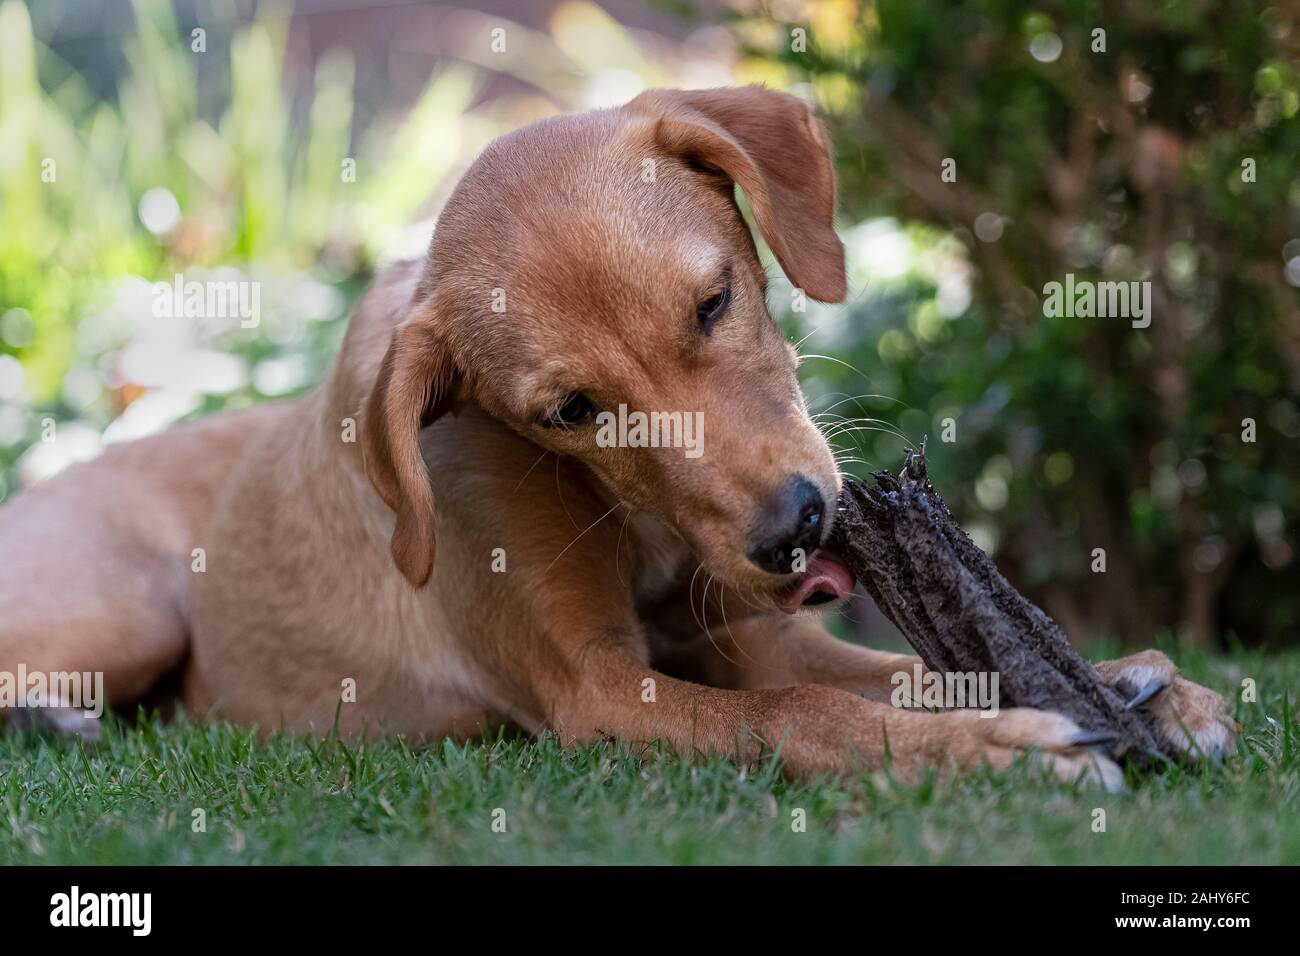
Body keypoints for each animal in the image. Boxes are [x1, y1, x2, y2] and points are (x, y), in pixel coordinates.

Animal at [0, 85, 1227, 785]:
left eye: (715, 302)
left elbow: (884, 673)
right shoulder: (594, 692)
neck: (637, 522)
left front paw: (1131, 685)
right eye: (569, 413)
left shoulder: (757, 630)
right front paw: (989, 751)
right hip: (127, 608)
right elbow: (803, 715)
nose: (795, 529)